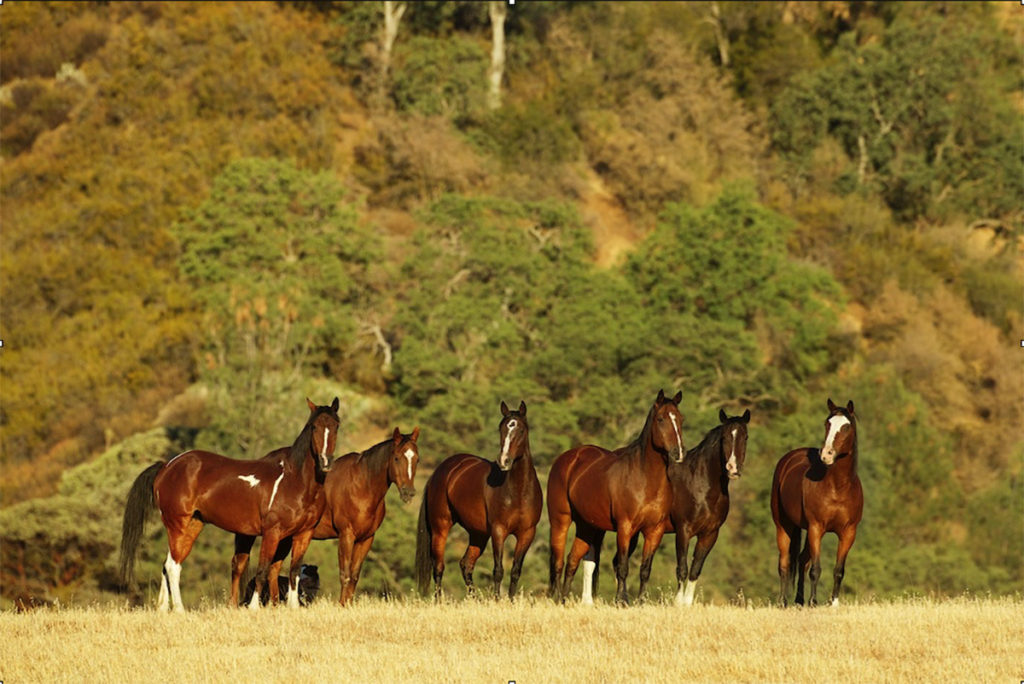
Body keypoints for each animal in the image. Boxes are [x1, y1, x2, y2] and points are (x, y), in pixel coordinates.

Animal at [117, 395, 337, 610]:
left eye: (336, 425)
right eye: (314, 427)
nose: (325, 462)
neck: (294, 480)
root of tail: (166, 466)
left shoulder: (302, 534)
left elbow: (293, 571)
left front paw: (292, 608)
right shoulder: (271, 533)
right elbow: (262, 570)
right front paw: (254, 608)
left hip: (193, 525)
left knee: (167, 563)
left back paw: (163, 608)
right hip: (177, 524)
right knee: (173, 566)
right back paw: (179, 609)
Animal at [247, 423, 419, 606]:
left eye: (417, 459)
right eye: (397, 458)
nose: (409, 493)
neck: (362, 486)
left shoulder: (366, 539)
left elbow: (354, 576)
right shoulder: (346, 536)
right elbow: (345, 574)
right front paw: (342, 605)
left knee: (273, 570)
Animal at [415, 401, 544, 597]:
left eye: (521, 430)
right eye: (501, 428)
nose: (504, 461)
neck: (519, 492)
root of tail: (442, 470)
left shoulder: (527, 534)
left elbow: (515, 571)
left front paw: (511, 600)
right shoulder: (498, 531)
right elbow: (498, 570)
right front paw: (497, 600)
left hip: (478, 534)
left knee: (466, 564)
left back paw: (475, 599)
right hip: (441, 527)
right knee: (438, 567)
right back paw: (439, 600)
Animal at [548, 389, 684, 602]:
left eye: (680, 419)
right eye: (661, 419)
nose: (678, 453)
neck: (645, 479)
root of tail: (567, 458)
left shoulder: (655, 530)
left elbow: (645, 569)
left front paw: (641, 601)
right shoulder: (625, 527)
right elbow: (622, 566)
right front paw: (622, 600)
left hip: (587, 527)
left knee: (572, 560)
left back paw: (564, 600)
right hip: (560, 521)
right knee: (558, 562)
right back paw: (554, 599)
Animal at [770, 397, 860, 606]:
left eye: (846, 427)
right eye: (827, 424)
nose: (826, 454)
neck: (838, 487)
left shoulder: (848, 533)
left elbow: (838, 570)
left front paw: (833, 603)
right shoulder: (816, 528)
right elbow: (816, 569)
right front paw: (813, 601)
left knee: (802, 560)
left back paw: (799, 600)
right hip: (783, 525)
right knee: (785, 563)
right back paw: (783, 601)